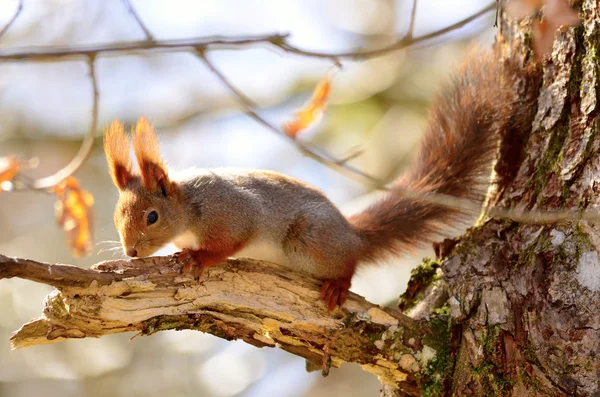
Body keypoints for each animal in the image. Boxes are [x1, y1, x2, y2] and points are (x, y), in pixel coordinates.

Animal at [102, 48, 540, 310]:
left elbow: (231, 242)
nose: (132, 253)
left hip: (309, 240)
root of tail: (353, 234)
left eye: (153, 216)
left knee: (348, 263)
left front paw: (198, 257)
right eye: (116, 216)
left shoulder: (232, 212)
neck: (190, 209)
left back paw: (338, 285)